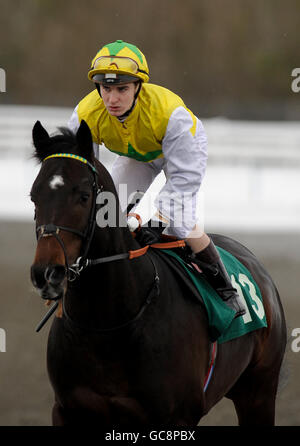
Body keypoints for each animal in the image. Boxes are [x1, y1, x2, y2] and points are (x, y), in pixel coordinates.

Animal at [29, 120, 286, 426]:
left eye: (83, 196)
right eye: (34, 196)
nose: (47, 272)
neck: (107, 325)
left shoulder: (176, 417)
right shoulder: (67, 409)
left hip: (259, 392)